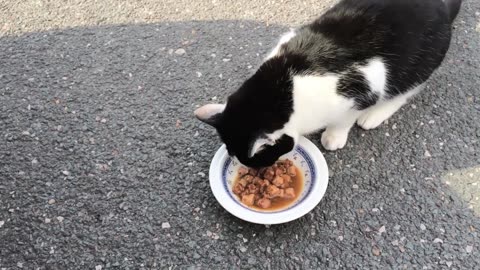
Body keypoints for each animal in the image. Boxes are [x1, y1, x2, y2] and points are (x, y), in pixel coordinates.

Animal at [194, 0, 462, 168]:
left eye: (262, 160)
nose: (259, 172)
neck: (283, 88)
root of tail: (441, 6)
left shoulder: (364, 86)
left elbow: (344, 119)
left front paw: (334, 135)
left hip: (420, 64)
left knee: (405, 91)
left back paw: (374, 115)